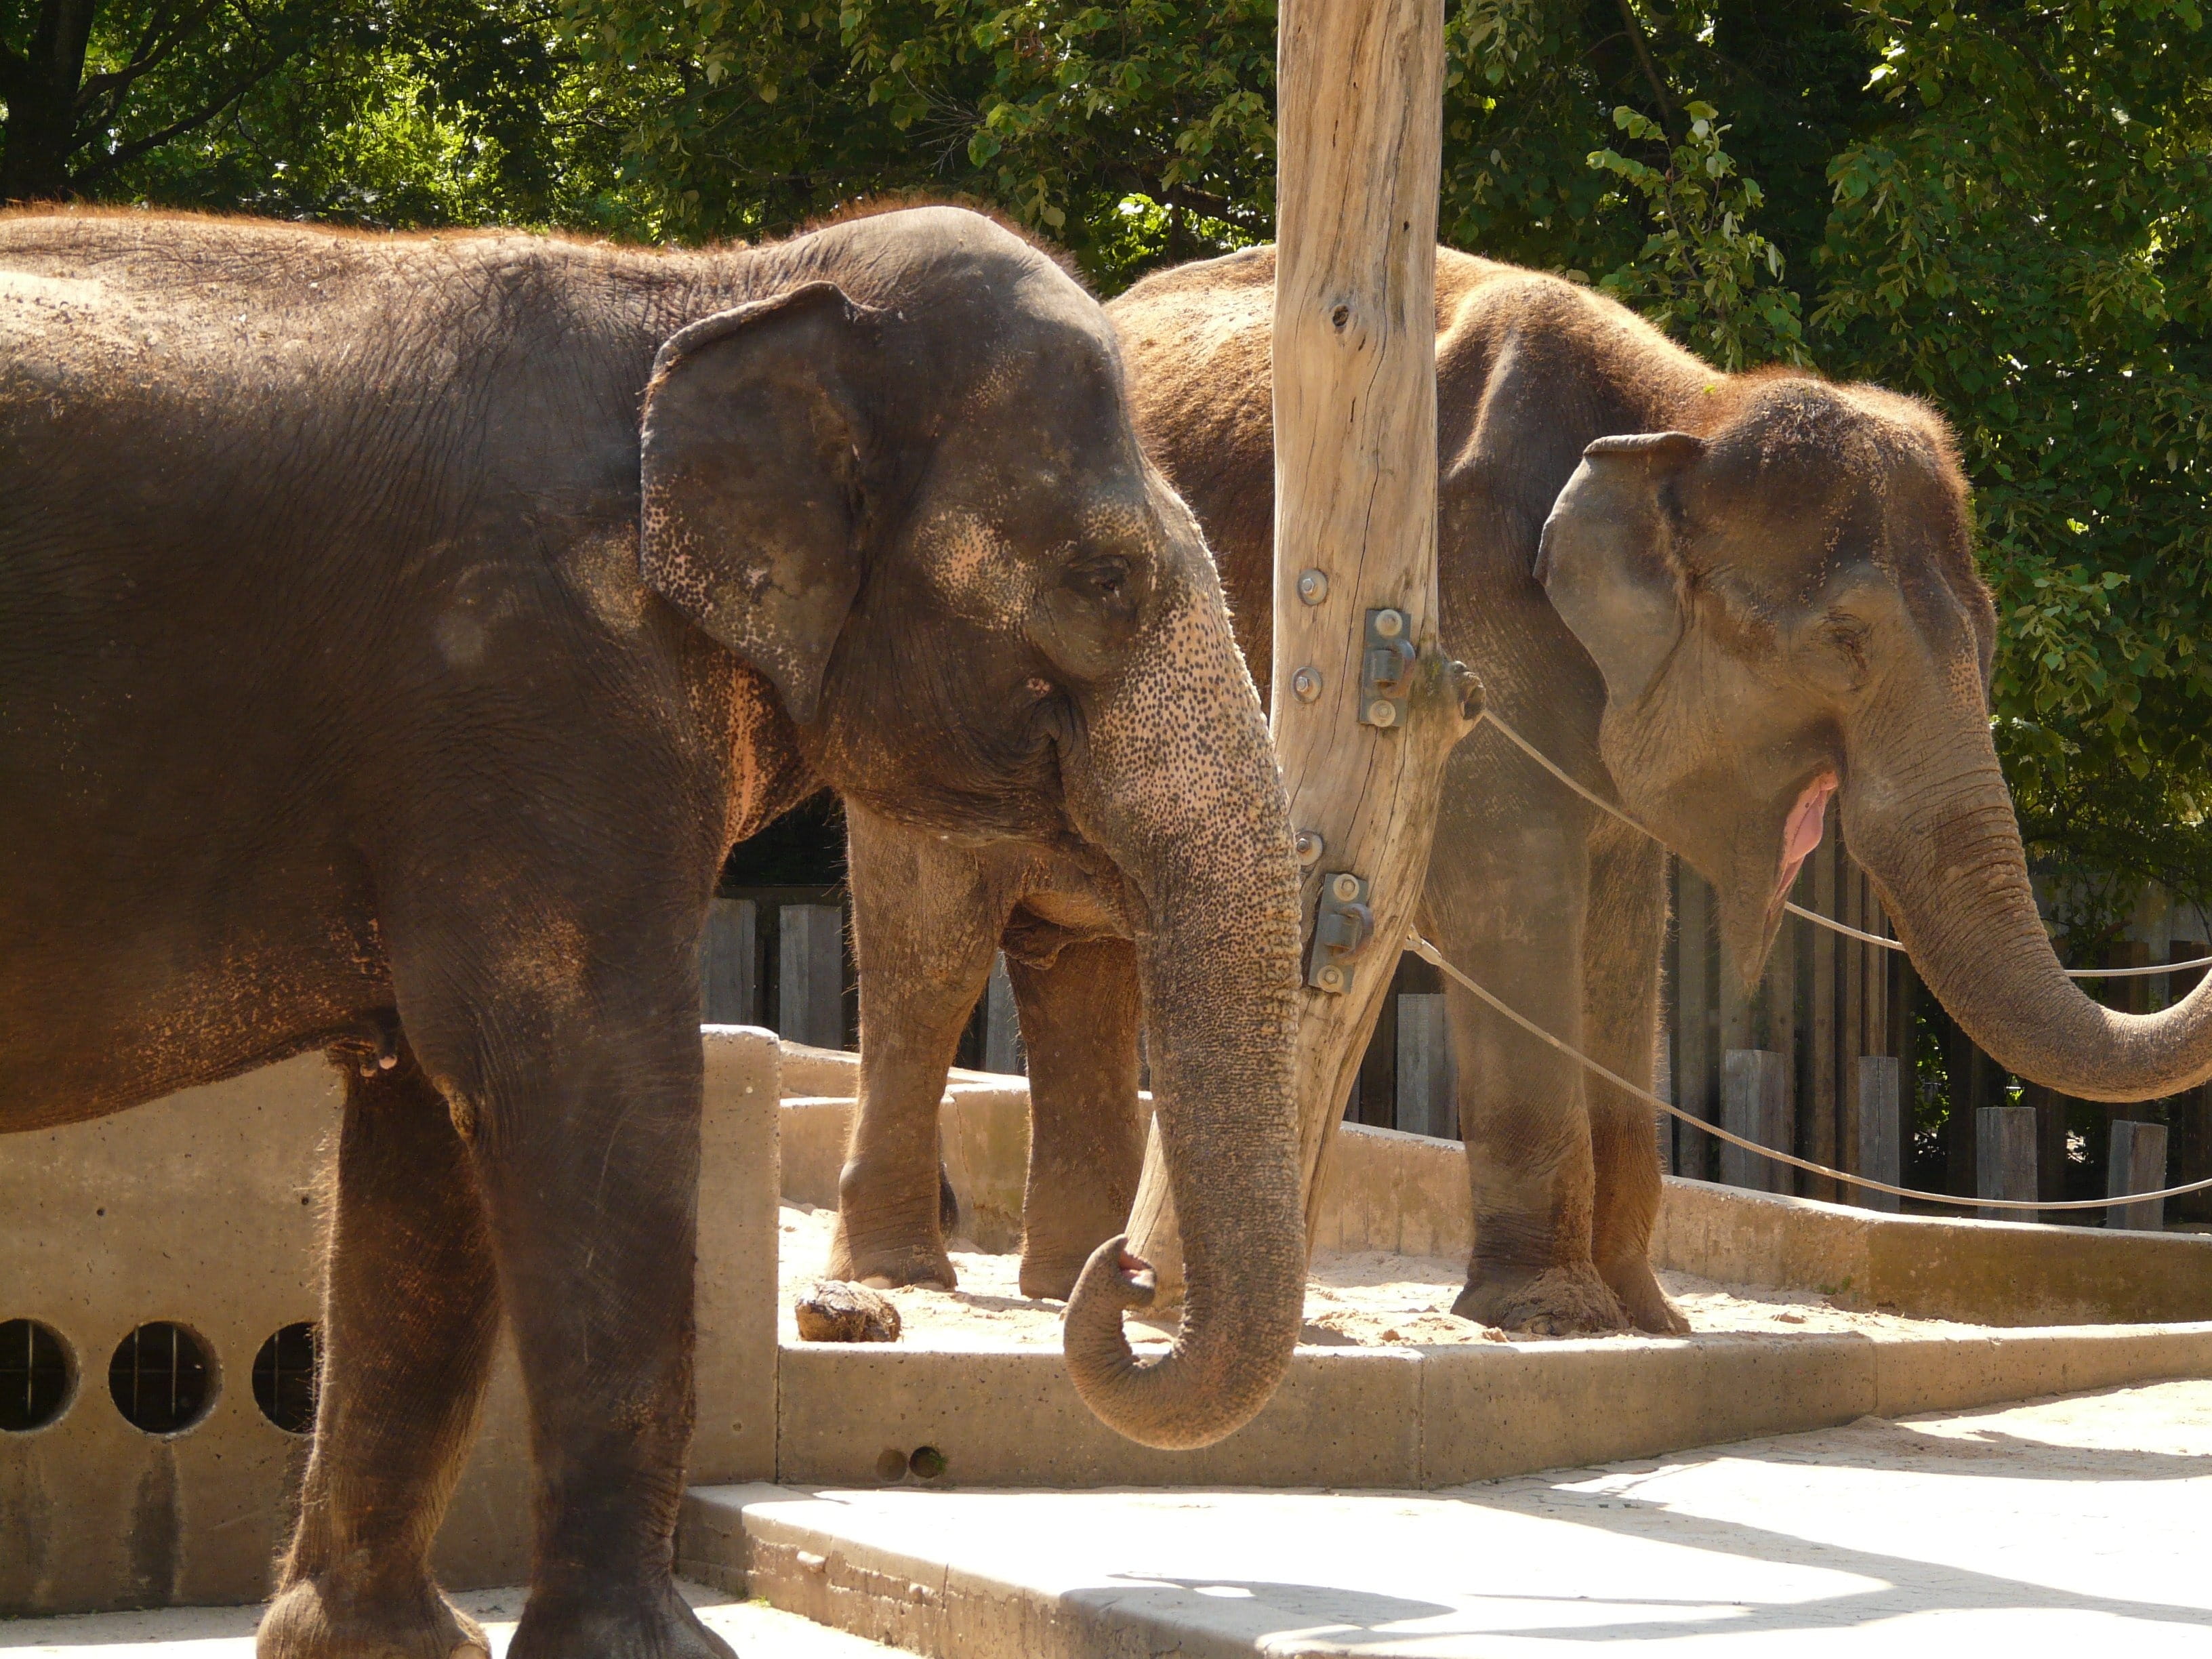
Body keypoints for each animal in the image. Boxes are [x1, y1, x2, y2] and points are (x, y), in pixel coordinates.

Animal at [0, 205, 1309, 1659]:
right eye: (1105, 577)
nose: (1121, 1276)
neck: (718, 285)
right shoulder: (532, 678)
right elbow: (586, 1078)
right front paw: (655, 1651)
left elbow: (428, 1130)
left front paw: (385, 1647)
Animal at [828, 241, 2212, 1334]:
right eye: (1846, 644)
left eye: (1987, 632)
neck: (1682, 413)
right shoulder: (1461, 617)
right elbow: (1509, 899)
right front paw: (1550, 1317)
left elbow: (1624, 935)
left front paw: (1648, 1324)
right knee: (930, 949)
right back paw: (906, 1276)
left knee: (1083, 963)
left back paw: (1084, 1284)